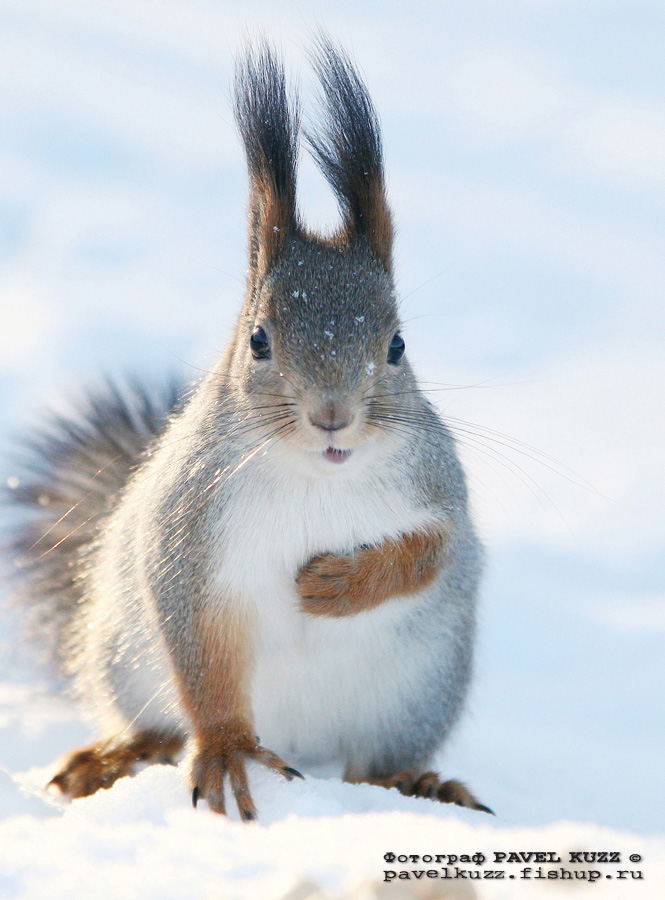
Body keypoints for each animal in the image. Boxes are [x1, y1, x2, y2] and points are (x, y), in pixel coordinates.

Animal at [5, 38, 488, 820]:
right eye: (259, 340)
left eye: (396, 345)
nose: (332, 416)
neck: (317, 474)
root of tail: (307, 751)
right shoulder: (188, 531)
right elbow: (203, 654)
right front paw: (229, 746)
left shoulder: (438, 485)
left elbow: (430, 552)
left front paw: (335, 585)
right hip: (124, 660)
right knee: (159, 727)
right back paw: (112, 756)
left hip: (417, 697)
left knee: (375, 766)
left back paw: (417, 784)